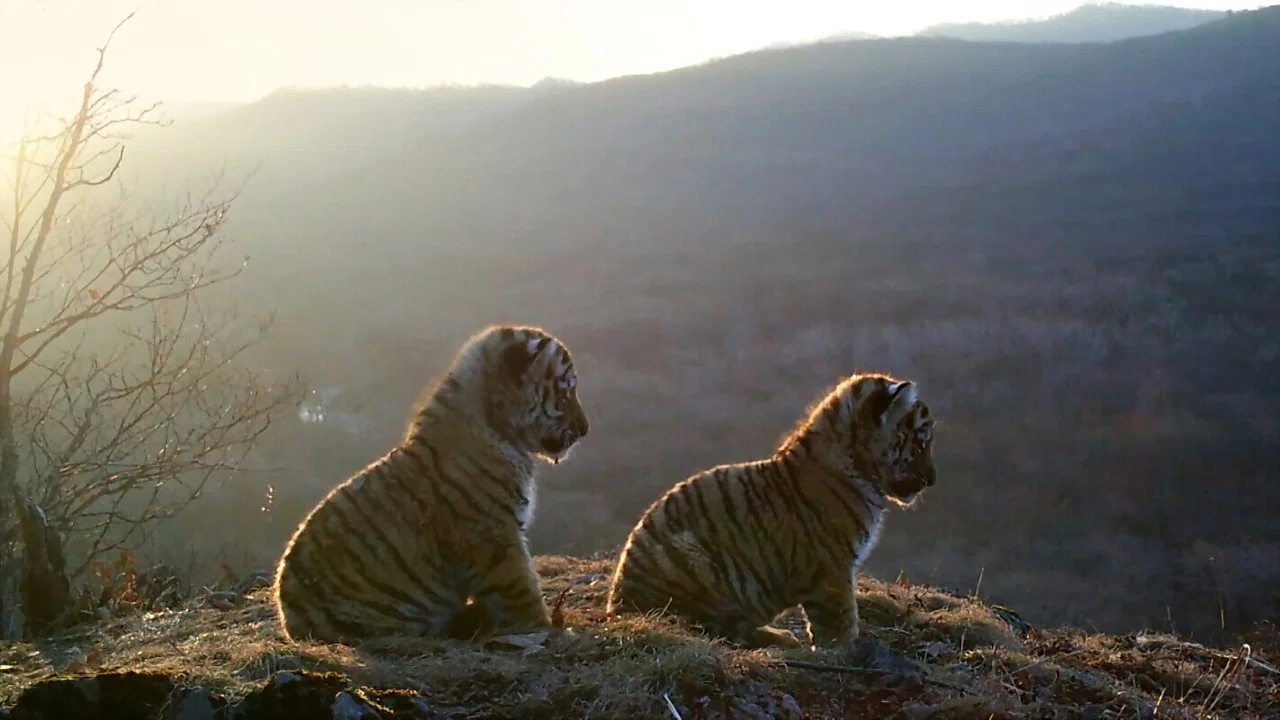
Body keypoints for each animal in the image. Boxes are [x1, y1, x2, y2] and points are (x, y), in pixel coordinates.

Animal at [272, 324, 590, 645]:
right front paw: (546, 626)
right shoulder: (492, 534)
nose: (585, 429)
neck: (496, 423)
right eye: (566, 392)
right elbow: (520, 587)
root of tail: (290, 623)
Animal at [606, 372, 935, 649]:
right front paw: (846, 650)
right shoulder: (832, 567)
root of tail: (618, 608)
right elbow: (840, 618)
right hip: (692, 557)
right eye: (920, 441)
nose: (932, 480)